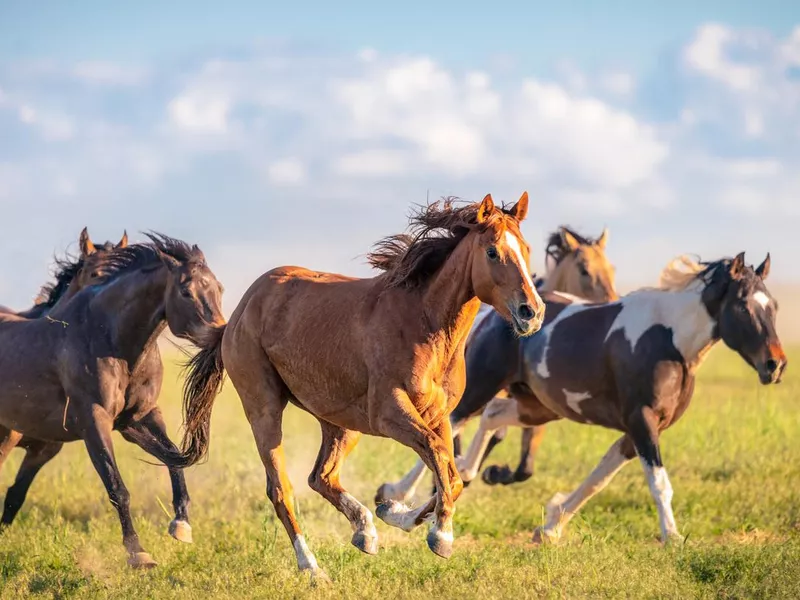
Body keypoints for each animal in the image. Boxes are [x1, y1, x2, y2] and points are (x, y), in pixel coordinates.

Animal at [0, 234, 223, 568]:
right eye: (186, 291)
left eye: (219, 288)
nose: (220, 333)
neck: (110, 339)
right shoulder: (94, 420)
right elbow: (117, 486)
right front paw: (138, 553)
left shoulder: (138, 417)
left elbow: (173, 457)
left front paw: (181, 524)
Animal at [168, 193, 544, 580]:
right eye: (492, 252)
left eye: (526, 248)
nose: (531, 312)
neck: (425, 326)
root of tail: (238, 314)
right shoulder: (389, 413)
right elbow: (439, 456)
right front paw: (440, 535)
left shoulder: (437, 415)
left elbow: (449, 474)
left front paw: (395, 511)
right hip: (265, 409)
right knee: (281, 489)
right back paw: (312, 568)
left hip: (340, 422)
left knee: (321, 476)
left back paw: (365, 531)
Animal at [376, 225, 620, 502]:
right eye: (584, 270)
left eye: (611, 269)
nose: (613, 301)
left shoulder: (534, 405)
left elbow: (524, 465)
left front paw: (493, 473)